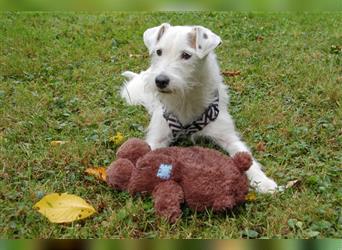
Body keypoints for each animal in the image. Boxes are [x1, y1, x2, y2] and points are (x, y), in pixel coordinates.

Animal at [120, 23, 278, 192]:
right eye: (159, 52)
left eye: (186, 55)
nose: (160, 81)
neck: (185, 98)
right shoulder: (157, 138)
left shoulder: (228, 137)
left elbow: (246, 156)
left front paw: (263, 182)